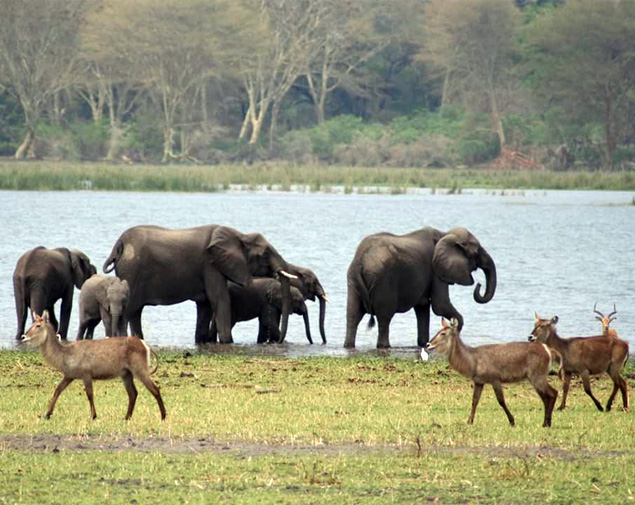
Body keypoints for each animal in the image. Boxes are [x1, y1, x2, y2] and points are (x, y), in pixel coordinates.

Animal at [20, 310, 166, 420]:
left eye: (38, 325)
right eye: (32, 324)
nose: (23, 337)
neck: (66, 354)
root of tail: (144, 343)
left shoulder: (86, 374)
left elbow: (90, 394)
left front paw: (93, 416)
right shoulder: (69, 376)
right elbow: (57, 390)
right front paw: (47, 414)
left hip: (140, 370)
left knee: (155, 389)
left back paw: (163, 416)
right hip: (126, 374)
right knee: (133, 393)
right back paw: (127, 417)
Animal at [103, 224, 296, 342]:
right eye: (265, 254)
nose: (279, 341)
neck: (239, 235)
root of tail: (119, 244)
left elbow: (205, 305)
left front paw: (202, 341)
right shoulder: (210, 265)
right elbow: (220, 299)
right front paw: (227, 342)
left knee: (136, 312)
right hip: (131, 272)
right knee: (127, 312)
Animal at [342, 227, 496, 348]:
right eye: (476, 252)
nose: (479, 284)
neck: (445, 234)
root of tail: (361, 260)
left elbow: (423, 307)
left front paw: (423, 343)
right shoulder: (436, 270)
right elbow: (440, 305)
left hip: (353, 279)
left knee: (353, 314)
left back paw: (349, 345)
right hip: (384, 279)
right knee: (384, 316)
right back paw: (384, 346)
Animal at [428, 316, 556, 428]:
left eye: (443, 333)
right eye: (438, 331)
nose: (428, 344)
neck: (472, 360)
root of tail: (547, 349)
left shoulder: (495, 380)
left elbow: (501, 401)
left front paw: (512, 421)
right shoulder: (479, 382)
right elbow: (474, 401)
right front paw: (469, 421)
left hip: (537, 377)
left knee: (552, 393)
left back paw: (547, 423)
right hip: (535, 378)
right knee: (547, 397)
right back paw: (546, 422)